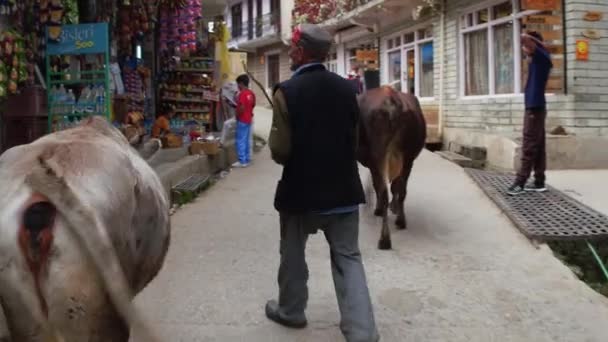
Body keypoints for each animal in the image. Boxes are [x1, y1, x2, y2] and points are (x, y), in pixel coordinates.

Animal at [358, 87, 426, 250]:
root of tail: (391, 98)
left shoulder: (372, 163)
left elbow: (377, 186)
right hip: (408, 158)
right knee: (401, 189)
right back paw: (400, 221)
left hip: (380, 154)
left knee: (384, 191)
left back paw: (384, 239)